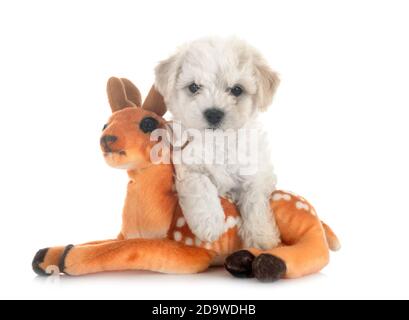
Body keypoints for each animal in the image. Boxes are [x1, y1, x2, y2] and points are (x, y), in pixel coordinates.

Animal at [154, 37, 280, 250]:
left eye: (237, 90)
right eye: (194, 87)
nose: (213, 114)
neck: (219, 141)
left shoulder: (256, 172)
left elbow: (255, 203)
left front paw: (262, 237)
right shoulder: (188, 166)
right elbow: (202, 186)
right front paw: (210, 223)